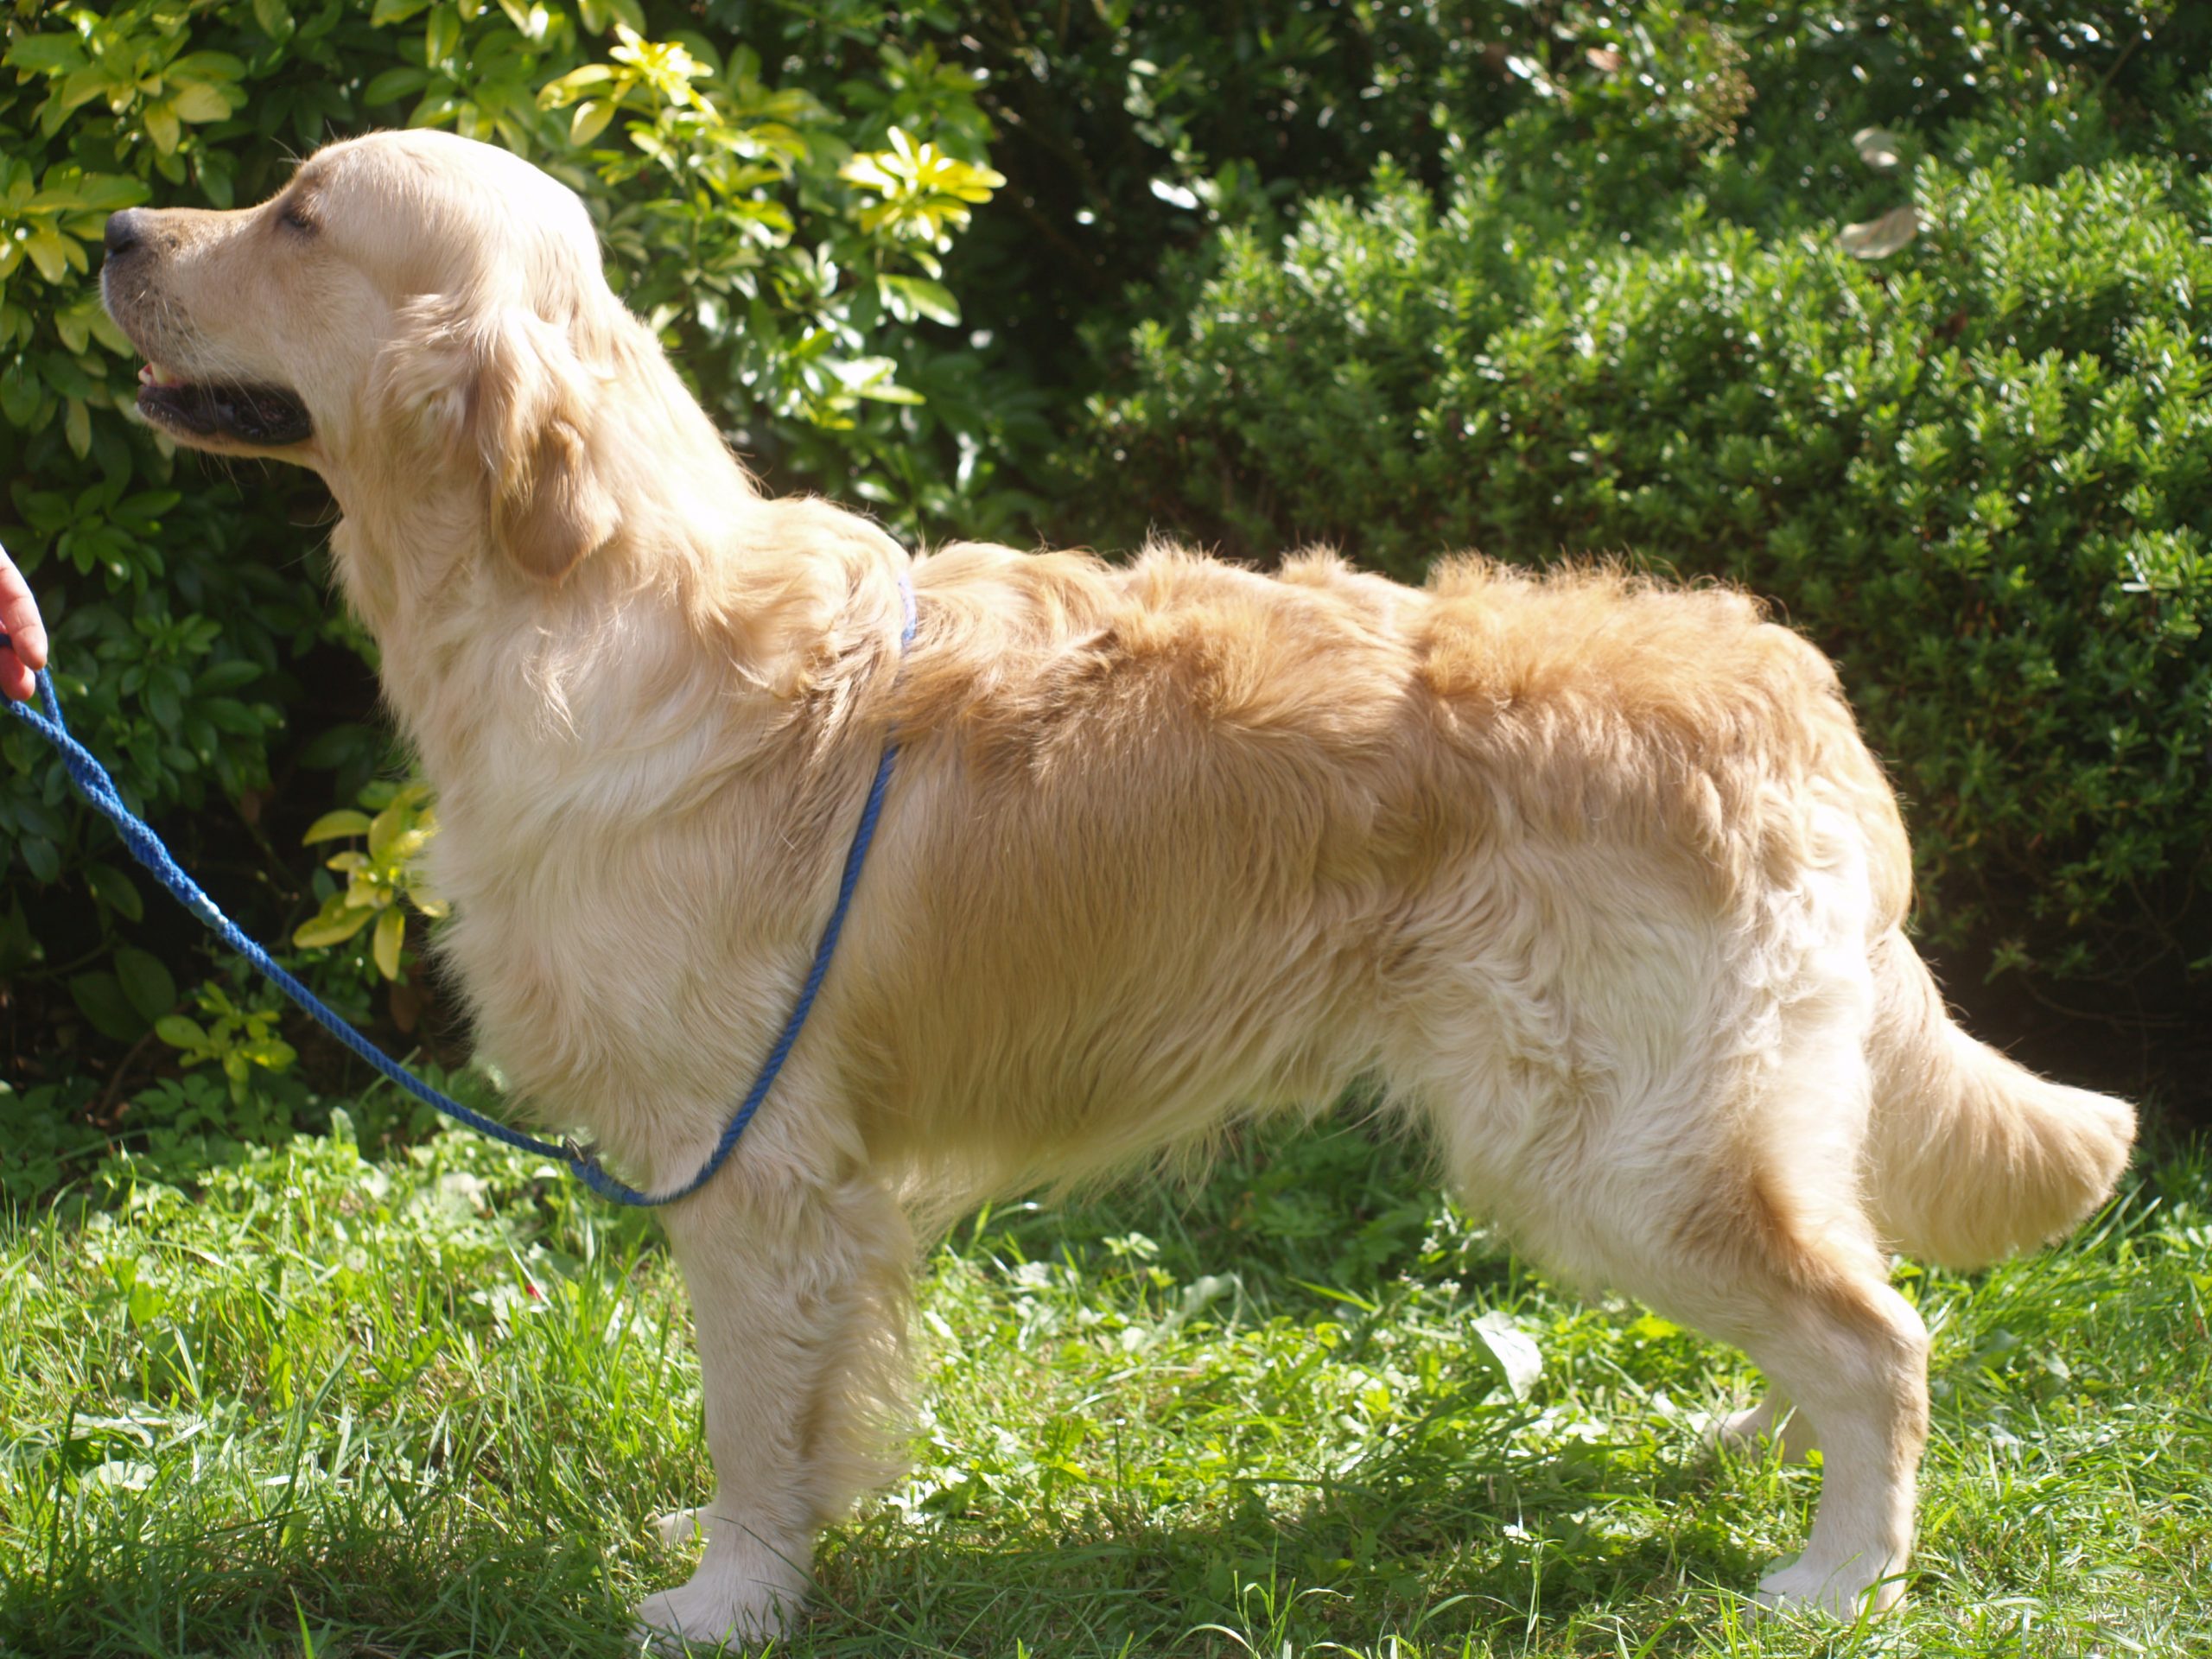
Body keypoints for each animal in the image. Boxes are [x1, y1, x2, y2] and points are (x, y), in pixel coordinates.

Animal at [95, 133, 2132, 1654]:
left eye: (298, 213)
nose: (113, 231)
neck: (578, 597)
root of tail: (1793, 687)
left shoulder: (749, 1161)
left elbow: (753, 1416)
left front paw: (730, 1602)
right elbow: (809, 1415)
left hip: (1604, 1136)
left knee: (1881, 1333)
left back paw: (1837, 1570)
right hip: (1668, 1133)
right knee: (1833, 1285)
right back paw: (1755, 1444)